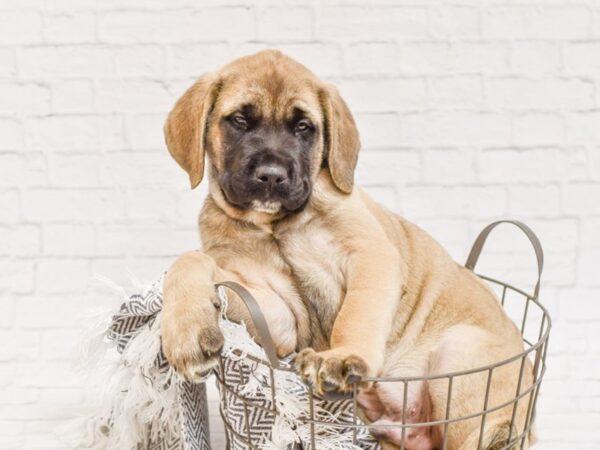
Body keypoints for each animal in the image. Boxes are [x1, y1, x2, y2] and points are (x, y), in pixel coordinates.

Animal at [161, 50, 536, 450]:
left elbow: (356, 313)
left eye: (303, 127)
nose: (272, 176)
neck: (276, 226)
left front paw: (342, 357)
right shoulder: (278, 316)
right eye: (240, 121)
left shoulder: (370, 256)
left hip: (459, 355)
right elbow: (189, 261)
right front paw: (186, 329)